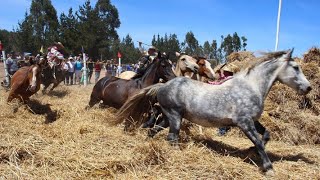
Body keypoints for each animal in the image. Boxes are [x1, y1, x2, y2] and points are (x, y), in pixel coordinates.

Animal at [116, 48, 312, 174]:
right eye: (296, 68)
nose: (308, 87)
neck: (252, 87)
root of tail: (162, 85)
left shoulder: (253, 120)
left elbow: (266, 136)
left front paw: (252, 152)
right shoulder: (244, 122)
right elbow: (258, 141)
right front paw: (268, 168)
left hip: (166, 117)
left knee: (154, 131)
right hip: (174, 117)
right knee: (172, 138)